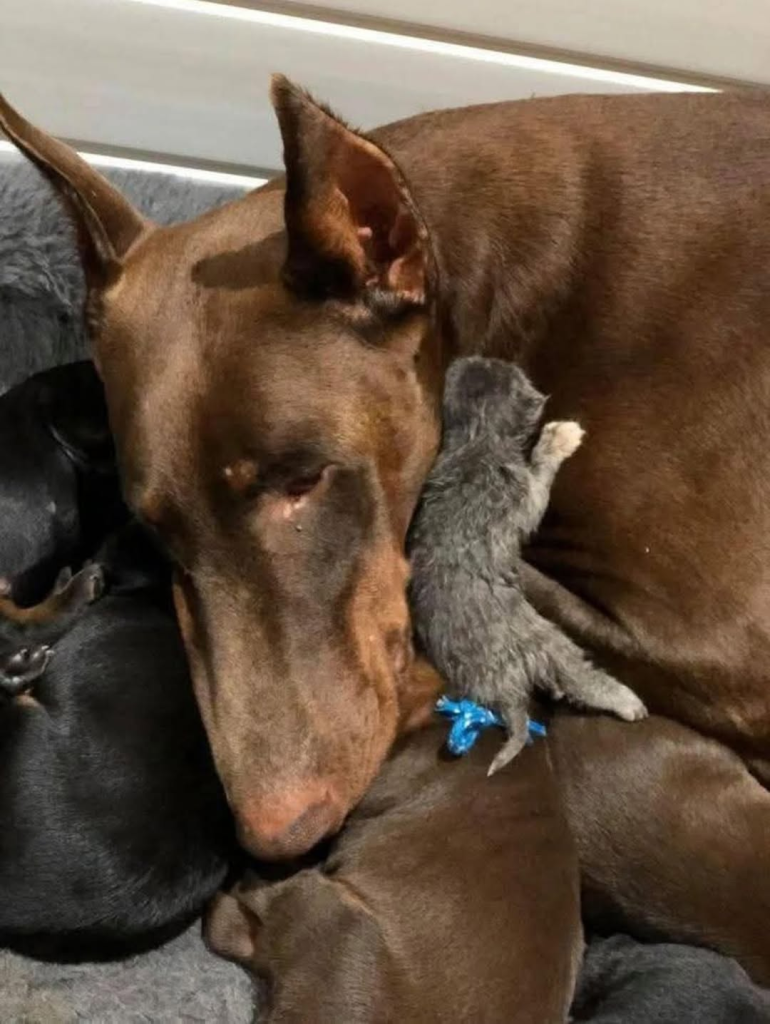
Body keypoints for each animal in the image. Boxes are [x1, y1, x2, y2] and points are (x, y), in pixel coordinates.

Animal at [409, 357, 646, 773]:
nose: (485, 356)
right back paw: (625, 701)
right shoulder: (523, 491)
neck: (475, 442)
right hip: (550, 643)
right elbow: (540, 475)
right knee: (578, 677)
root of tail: (504, 693)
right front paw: (557, 440)